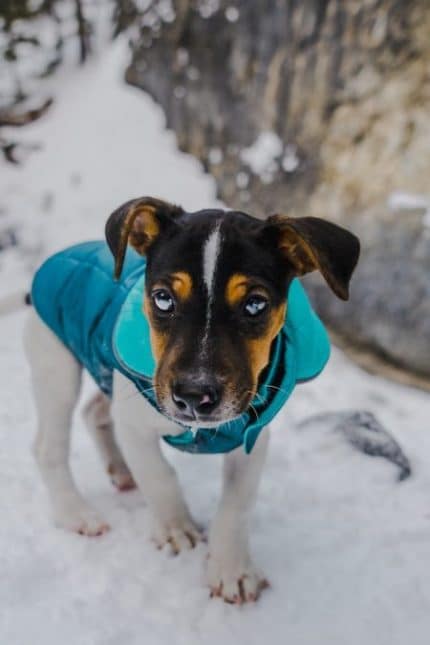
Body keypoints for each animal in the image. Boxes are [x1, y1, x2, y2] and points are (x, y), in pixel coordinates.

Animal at [21, 197, 362, 604]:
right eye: (163, 298)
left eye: (255, 305)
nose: (194, 397)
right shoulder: (136, 423)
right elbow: (159, 475)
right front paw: (176, 529)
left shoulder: (252, 435)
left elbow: (236, 504)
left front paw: (231, 570)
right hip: (55, 365)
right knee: (48, 446)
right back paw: (76, 514)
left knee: (94, 411)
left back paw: (119, 470)